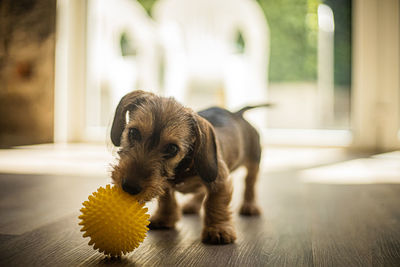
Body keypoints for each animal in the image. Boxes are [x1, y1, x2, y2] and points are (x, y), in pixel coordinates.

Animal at [109, 90, 268, 245]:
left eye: (172, 148)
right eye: (133, 132)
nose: (129, 187)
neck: (182, 168)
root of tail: (237, 114)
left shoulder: (220, 181)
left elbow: (216, 203)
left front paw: (218, 229)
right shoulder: (163, 183)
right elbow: (167, 198)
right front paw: (164, 218)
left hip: (254, 162)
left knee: (250, 183)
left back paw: (250, 205)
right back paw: (193, 205)